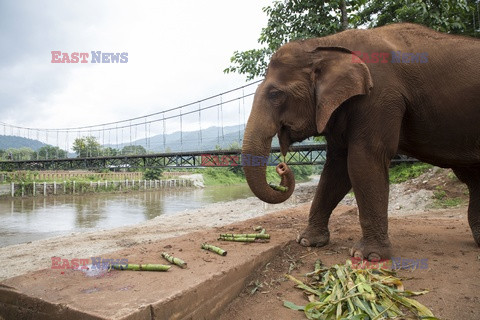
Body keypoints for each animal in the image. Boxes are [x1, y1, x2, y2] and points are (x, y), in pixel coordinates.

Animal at [244, 23, 480, 262]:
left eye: (276, 94)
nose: (282, 166)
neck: (323, 45)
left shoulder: (379, 96)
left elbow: (363, 159)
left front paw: (368, 256)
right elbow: (337, 167)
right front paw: (307, 242)